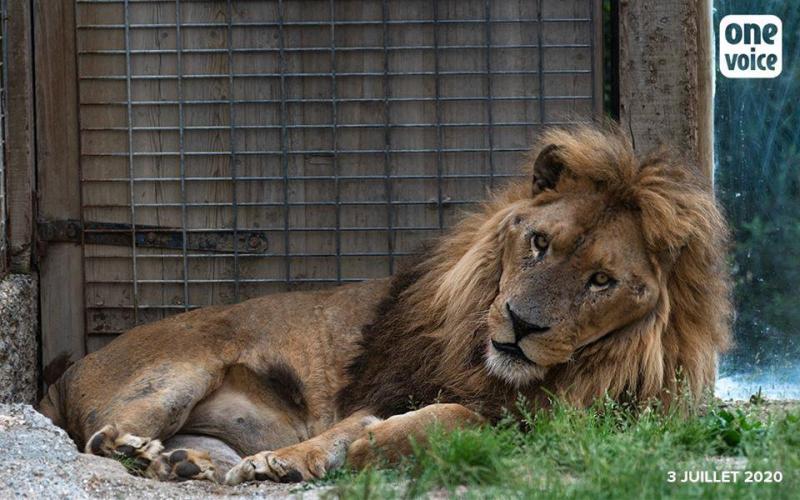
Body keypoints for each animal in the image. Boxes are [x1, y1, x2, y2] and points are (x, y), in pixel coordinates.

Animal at [37, 125, 731, 484]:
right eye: (539, 242)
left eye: (600, 281)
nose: (519, 324)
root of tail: (61, 378)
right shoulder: (393, 382)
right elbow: (356, 425)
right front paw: (298, 460)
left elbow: (459, 418)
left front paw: (379, 445)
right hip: (183, 368)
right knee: (100, 440)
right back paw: (143, 453)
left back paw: (186, 463)